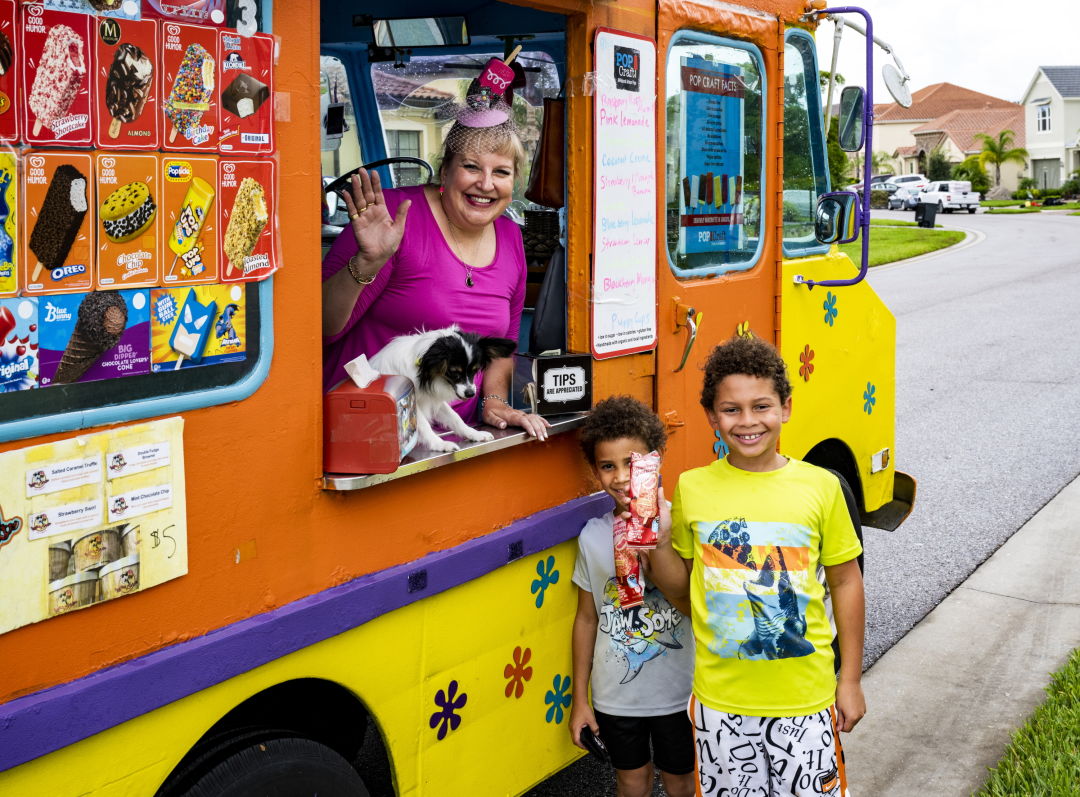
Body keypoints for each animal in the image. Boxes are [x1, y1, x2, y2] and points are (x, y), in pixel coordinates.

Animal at [371, 323, 518, 447]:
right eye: (454, 372)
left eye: (474, 371)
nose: (470, 394)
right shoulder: (412, 404)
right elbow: (424, 426)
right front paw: (440, 445)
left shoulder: (433, 399)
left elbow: (455, 418)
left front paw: (474, 434)